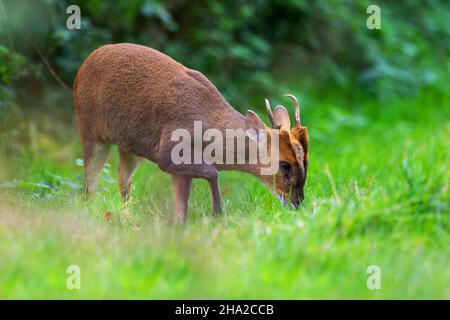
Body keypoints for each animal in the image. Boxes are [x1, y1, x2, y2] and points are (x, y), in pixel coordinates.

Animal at [73, 43, 310, 220]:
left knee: (122, 181)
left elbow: (182, 204)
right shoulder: (168, 153)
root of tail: (83, 65)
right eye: (284, 164)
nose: (297, 204)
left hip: (129, 147)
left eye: (305, 162)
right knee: (89, 185)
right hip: (89, 131)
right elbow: (212, 172)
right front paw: (217, 213)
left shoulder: (179, 168)